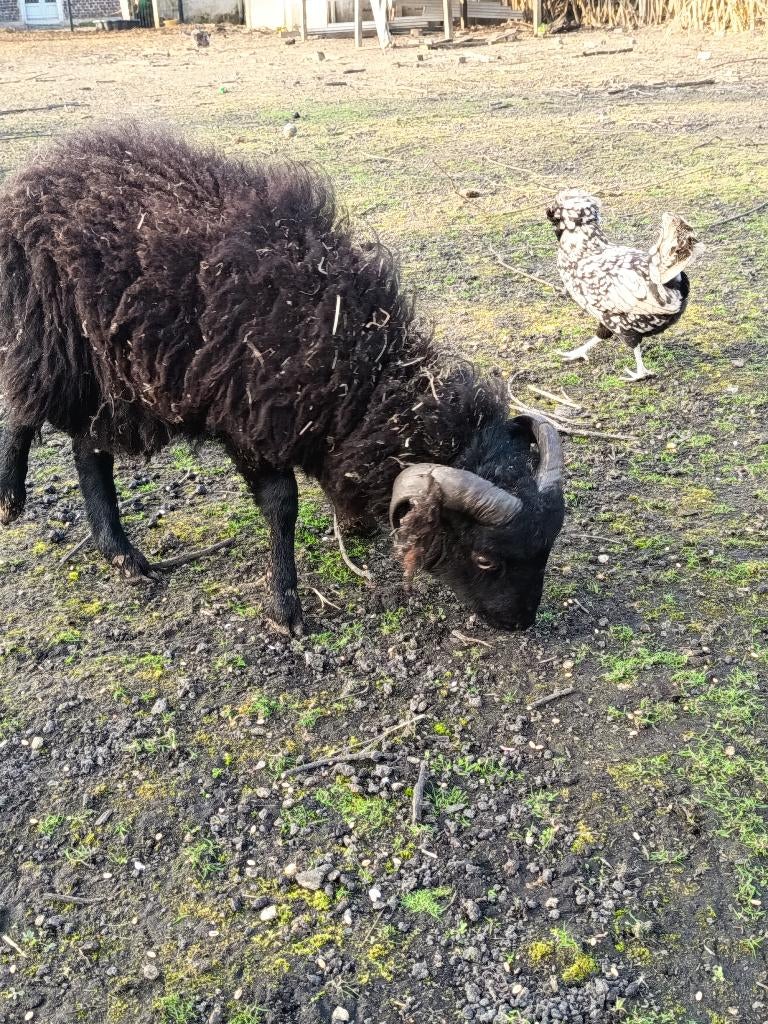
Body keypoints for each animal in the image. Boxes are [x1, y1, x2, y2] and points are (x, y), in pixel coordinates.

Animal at [0, 126, 566, 635]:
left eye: (547, 548)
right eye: (486, 559)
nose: (520, 623)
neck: (358, 370)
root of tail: (39, 169)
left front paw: (351, 524)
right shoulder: (248, 419)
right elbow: (282, 505)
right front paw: (286, 607)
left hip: (109, 375)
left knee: (87, 448)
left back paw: (120, 555)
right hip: (53, 338)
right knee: (25, 407)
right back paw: (12, 500)